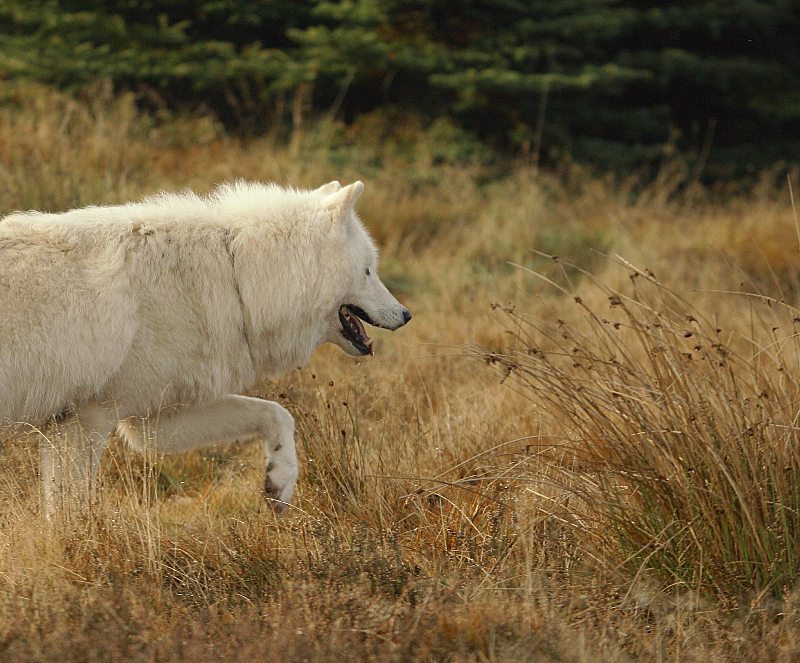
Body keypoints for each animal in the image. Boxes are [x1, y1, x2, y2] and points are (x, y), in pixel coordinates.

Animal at [0, 180, 412, 512]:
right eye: (368, 271)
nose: (406, 315)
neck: (236, 273)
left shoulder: (147, 424)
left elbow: (278, 413)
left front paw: (280, 482)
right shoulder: (85, 420)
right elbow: (68, 511)